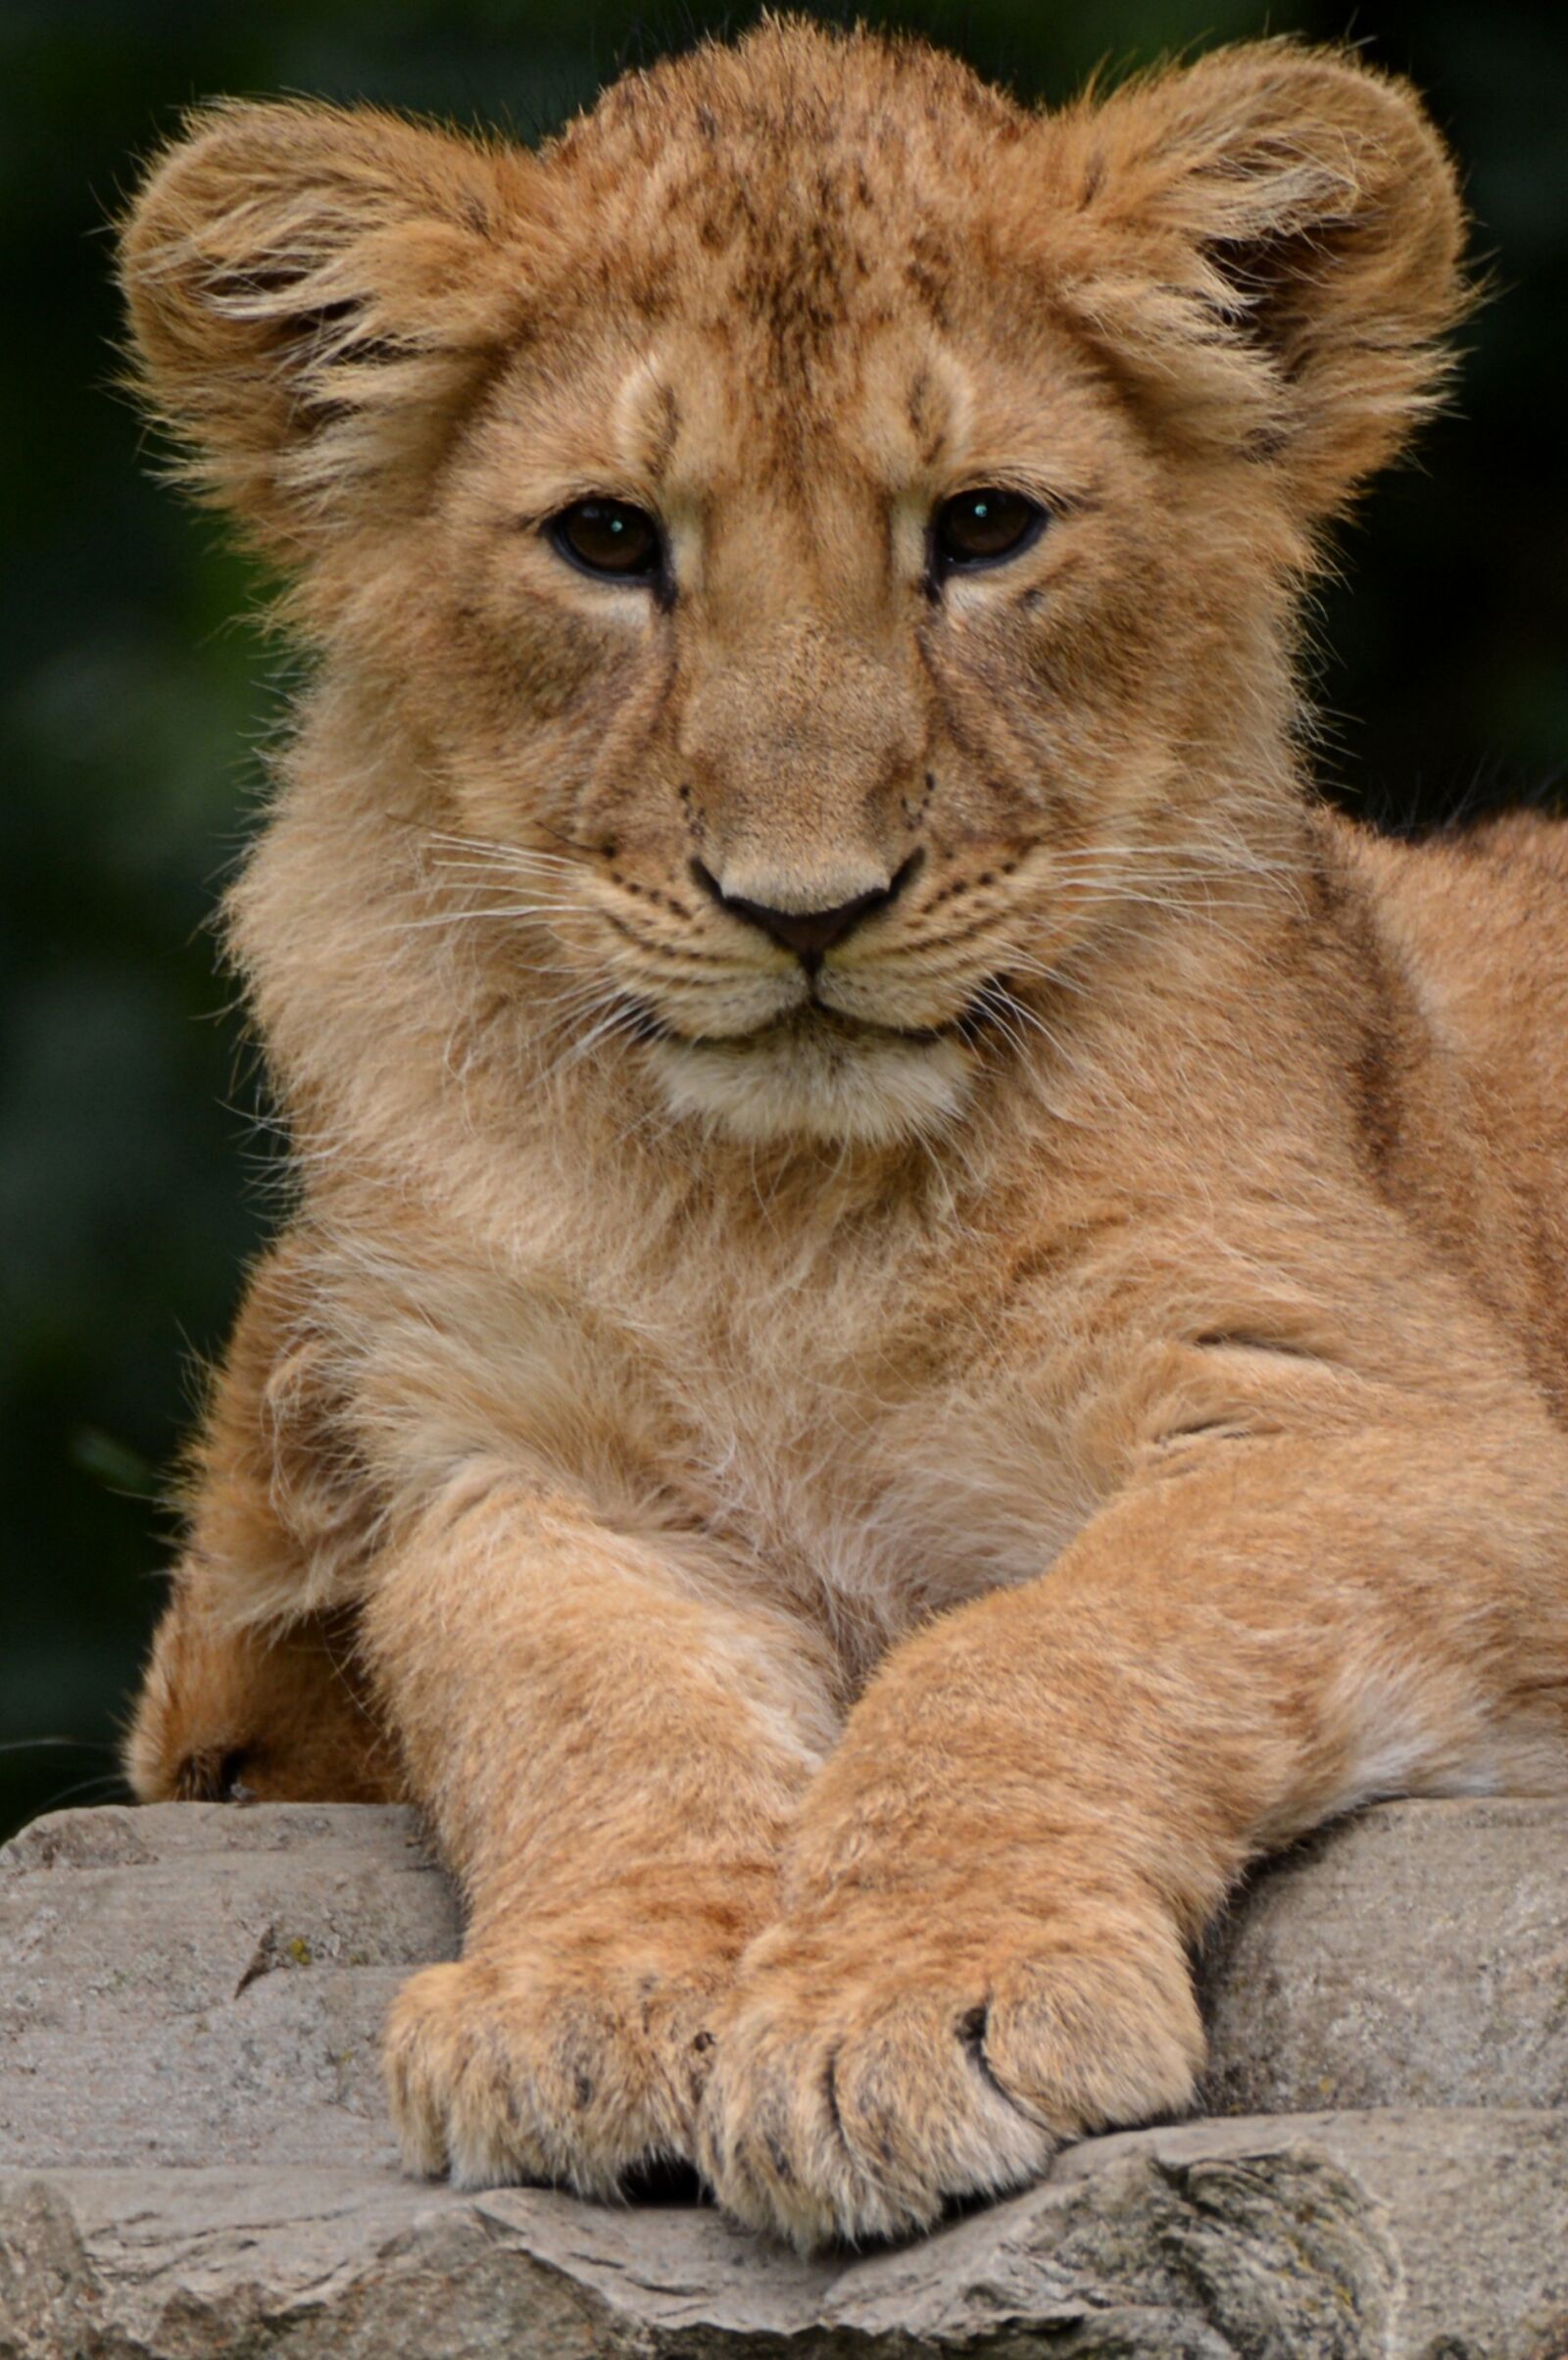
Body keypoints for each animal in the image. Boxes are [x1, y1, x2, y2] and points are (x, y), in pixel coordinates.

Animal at [117, 20, 1568, 2251]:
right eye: (606, 539)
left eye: (981, 525)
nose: (803, 907)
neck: (770, 1217)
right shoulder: (512, 1471)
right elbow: (587, 1715)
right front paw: (589, 1994)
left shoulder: (1396, 1417)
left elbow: (1040, 1645)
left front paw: (900, 1998)